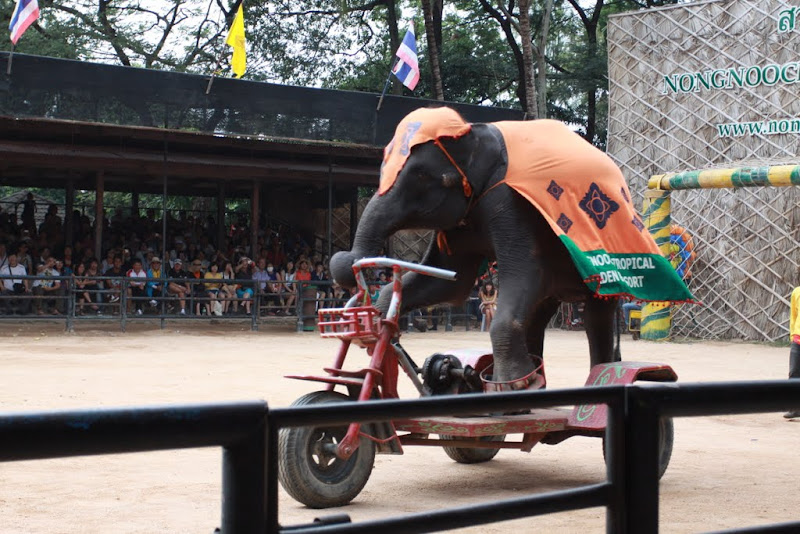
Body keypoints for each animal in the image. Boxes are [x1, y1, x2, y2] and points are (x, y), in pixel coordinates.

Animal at [331, 107, 693, 389]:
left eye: (421, 177)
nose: (345, 262)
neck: (475, 132)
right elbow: (450, 282)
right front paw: (373, 326)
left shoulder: (508, 203)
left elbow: (524, 270)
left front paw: (515, 383)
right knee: (538, 312)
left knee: (596, 312)